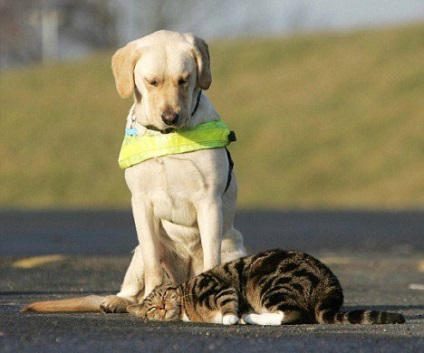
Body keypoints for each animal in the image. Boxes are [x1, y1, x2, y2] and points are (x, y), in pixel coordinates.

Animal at [23, 29, 247, 310]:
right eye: (152, 82)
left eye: (184, 80)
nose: (170, 117)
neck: (165, 138)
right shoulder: (141, 203)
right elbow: (153, 267)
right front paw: (150, 297)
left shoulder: (208, 201)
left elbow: (211, 260)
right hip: (138, 252)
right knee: (132, 291)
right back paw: (117, 301)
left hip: (233, 248)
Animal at [127, 248, 406, 324]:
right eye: (151, 308)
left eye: (164, 294)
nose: (162, 307)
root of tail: (329, 283)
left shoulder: (218, 287)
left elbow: (228, 305)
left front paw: (231, 318)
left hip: (269, 282)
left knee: (293, 315)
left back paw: (251, 317)